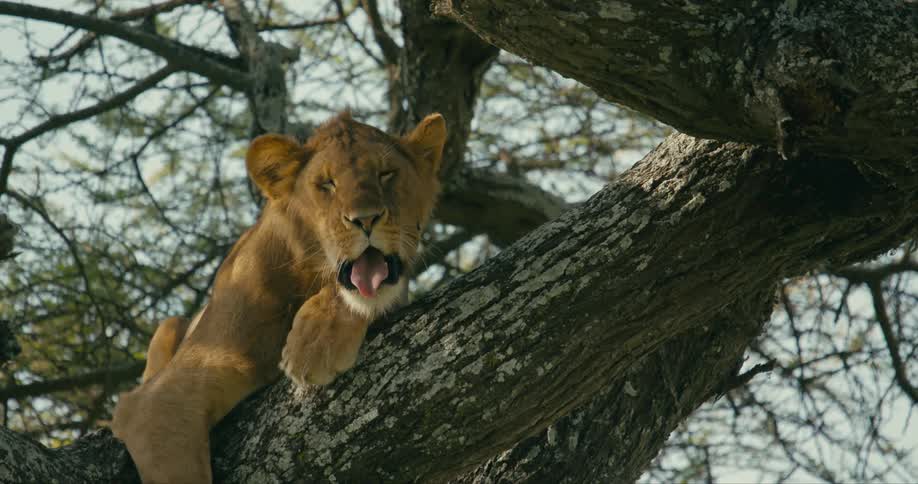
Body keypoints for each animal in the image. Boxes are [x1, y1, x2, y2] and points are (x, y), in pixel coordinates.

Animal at [111, 112, 446, 483]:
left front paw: (314, 345)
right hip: (169, 327)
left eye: (386, 173)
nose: (366, 219)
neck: (306, 277)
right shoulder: (158, 400)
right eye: (326, 184)